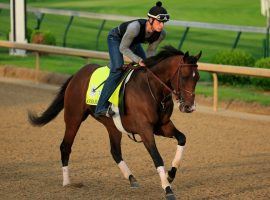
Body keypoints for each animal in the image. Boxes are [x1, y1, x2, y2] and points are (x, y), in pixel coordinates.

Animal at [28, 45, 201, 200]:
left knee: (115, 151)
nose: (189, 107)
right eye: (184, 76)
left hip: (112, 126)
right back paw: (67, 182)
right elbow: (157, 157)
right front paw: (167, 189)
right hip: (73, 118)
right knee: (65, 146)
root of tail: (77, 74)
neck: (151, 89)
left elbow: (182, 138)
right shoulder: (145, 129)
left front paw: (171, 174)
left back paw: (131, 178)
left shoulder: (162, 126)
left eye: (197, 78)